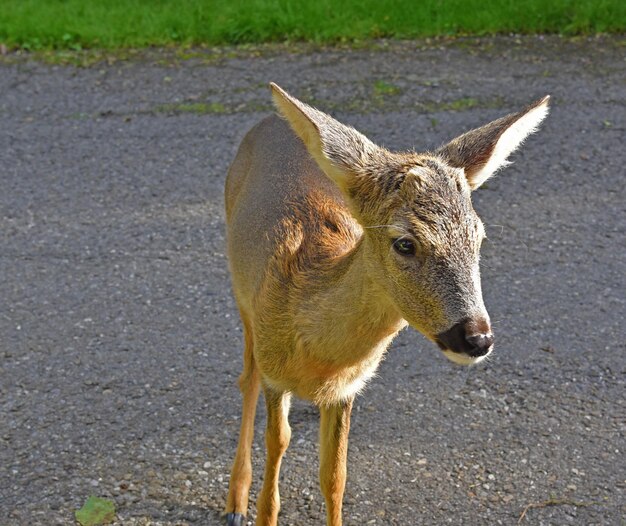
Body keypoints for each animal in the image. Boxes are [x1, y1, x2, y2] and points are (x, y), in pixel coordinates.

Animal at [221, 84, 544, 524]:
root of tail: (269, 121)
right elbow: (276, 458)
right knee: (246, 379)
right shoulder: (274, 369)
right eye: (405, 243)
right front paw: (254, 507)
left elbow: (334, 475)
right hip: (242, 297)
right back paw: (234, 502)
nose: (477, 337)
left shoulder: (347, 389)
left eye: (479, 237)